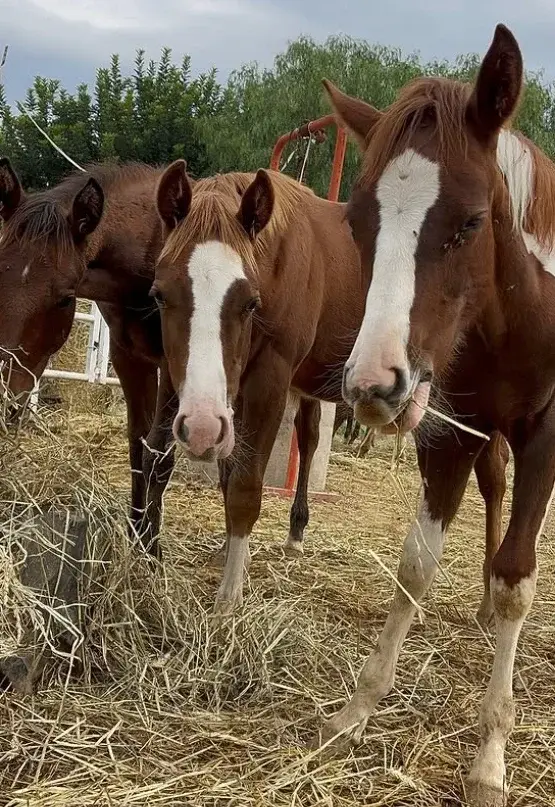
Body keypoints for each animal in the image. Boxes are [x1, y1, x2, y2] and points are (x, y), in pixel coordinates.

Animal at [151, 161, 510, 627]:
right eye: (160, 295)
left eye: (249, 303)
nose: (198, 430)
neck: (277, 259)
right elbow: (227, 473)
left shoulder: (269, 379)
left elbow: (245, 488)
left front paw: (228, 599)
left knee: (495, 481)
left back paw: (488, 600)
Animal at [320, 22, 555, 806]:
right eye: (357, 221)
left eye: (472, 222)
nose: (371, 385)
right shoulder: (448, 430)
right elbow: (415, 565)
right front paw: (358, 708)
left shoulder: (546, 435)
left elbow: (518, 578)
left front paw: (489, 757)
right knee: (493, 487)